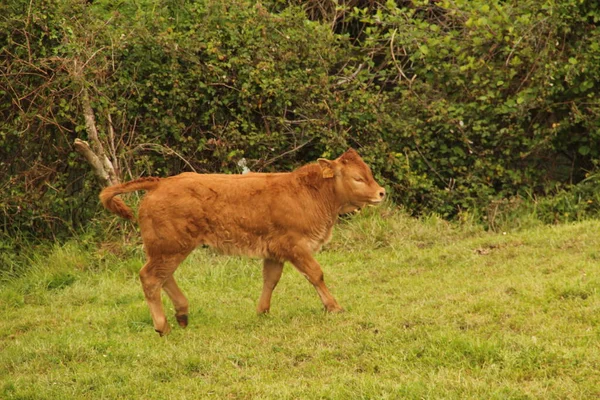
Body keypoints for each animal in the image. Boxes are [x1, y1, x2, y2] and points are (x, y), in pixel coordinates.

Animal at [99, 148, 384, 336]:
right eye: (358, 178)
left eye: (368, 173)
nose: (381, 192)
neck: (308, 192)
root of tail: (159, 183)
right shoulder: (295, 246)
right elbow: (316, 274)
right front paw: (334, 307)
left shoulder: (274, 251)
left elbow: (270, 279)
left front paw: (262, 311)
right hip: (169, 248)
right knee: (150, 278)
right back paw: (163, 326)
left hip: (166, 249)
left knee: (163, 277)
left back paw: (182, 314)